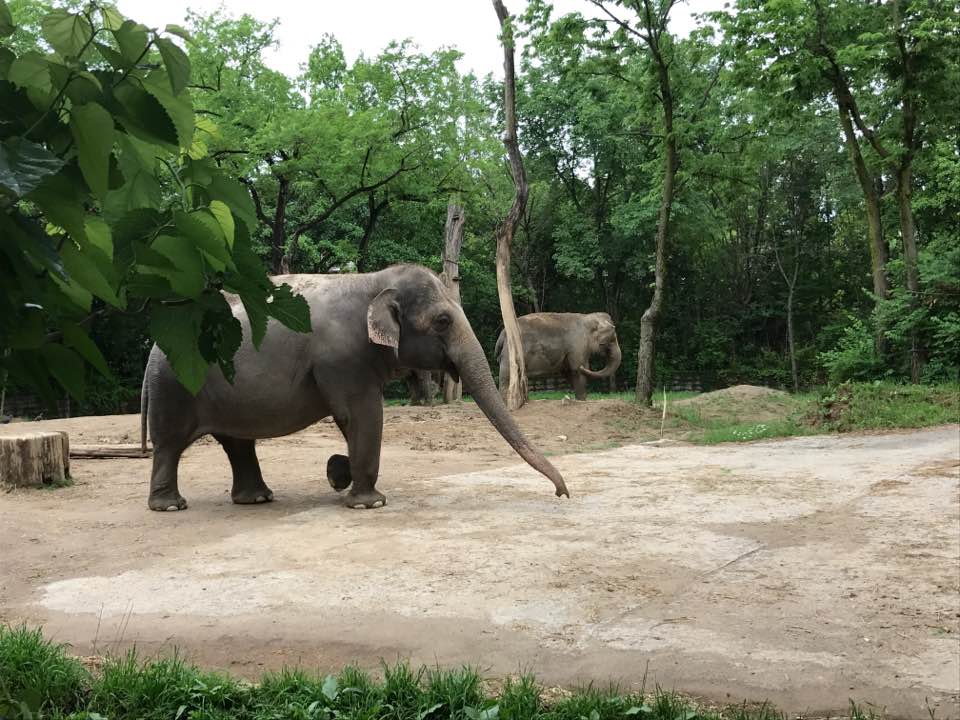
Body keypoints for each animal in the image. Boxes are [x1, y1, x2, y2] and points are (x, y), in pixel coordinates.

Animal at [140, 264, 569, 511]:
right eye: (443, 321)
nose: (562, 494)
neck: (373, 280)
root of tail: (153, 347)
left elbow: (353, 422)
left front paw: (337, 473)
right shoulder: (343, 359)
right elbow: (362, 415)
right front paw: (369, 503)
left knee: (237, 443)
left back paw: (257, 499)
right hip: (174, 386)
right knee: (171, 444)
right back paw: (170, 506)